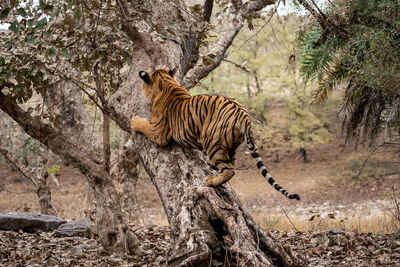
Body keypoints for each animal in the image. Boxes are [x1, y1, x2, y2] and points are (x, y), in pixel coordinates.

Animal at [131, 69, 300, 201]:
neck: (167, 82)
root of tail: (244, 115)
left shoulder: (158, 132)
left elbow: (144, 124)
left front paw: (134, 121)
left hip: (211, 141)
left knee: (230, 169)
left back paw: (211, 180)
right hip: (232, 143)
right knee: (232, 161)